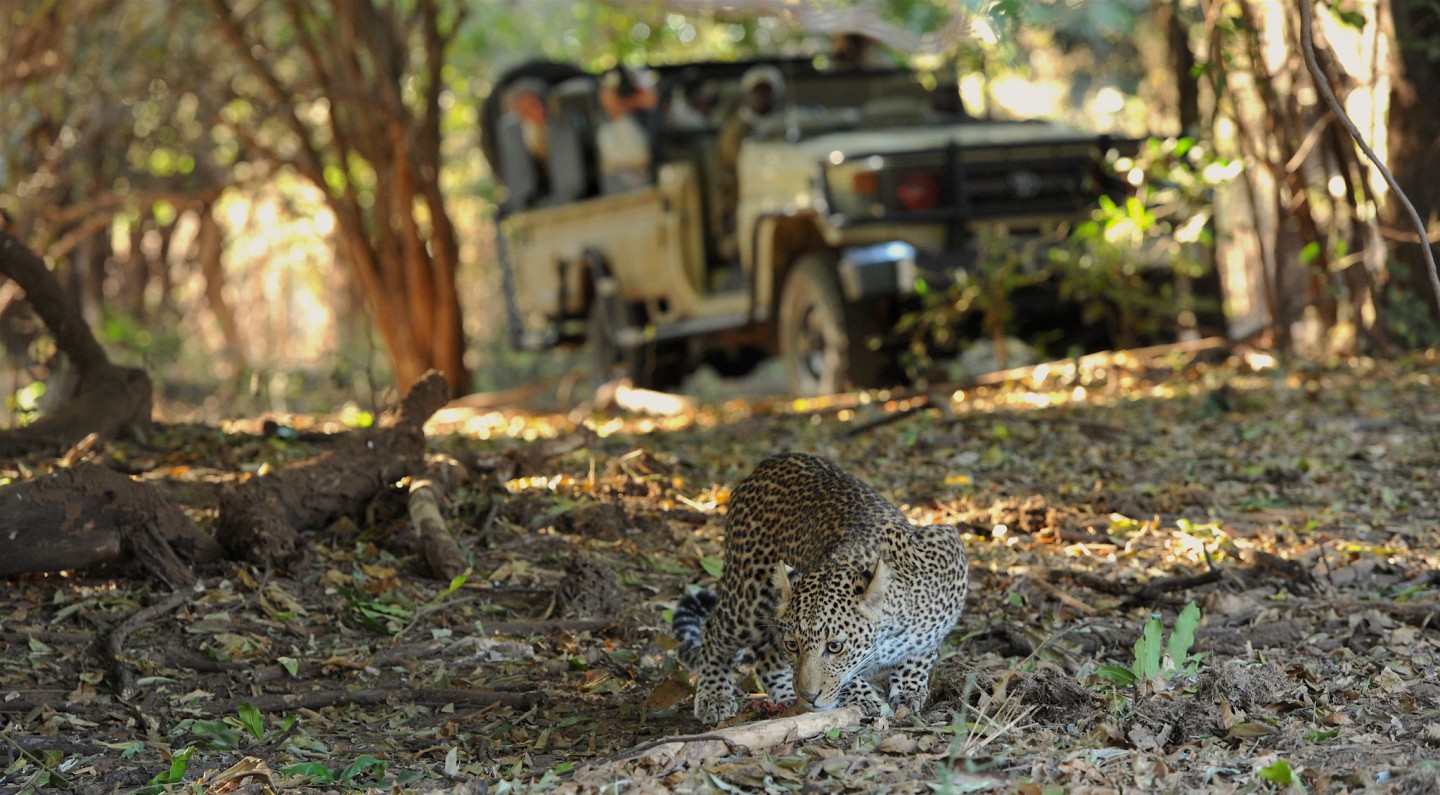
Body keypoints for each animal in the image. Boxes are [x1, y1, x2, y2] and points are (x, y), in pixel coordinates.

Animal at [671, 449, 967, 722]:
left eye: (835, 647)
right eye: (793, 645)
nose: (808, 696)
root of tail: (769, 462)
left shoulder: (947, 544)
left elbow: (923, 652)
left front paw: (908, 687)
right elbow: (847, 679)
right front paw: (864, 698)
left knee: (766, 657)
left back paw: (786, 698)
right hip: (747, 600)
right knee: (715, 632)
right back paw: (715, 696)